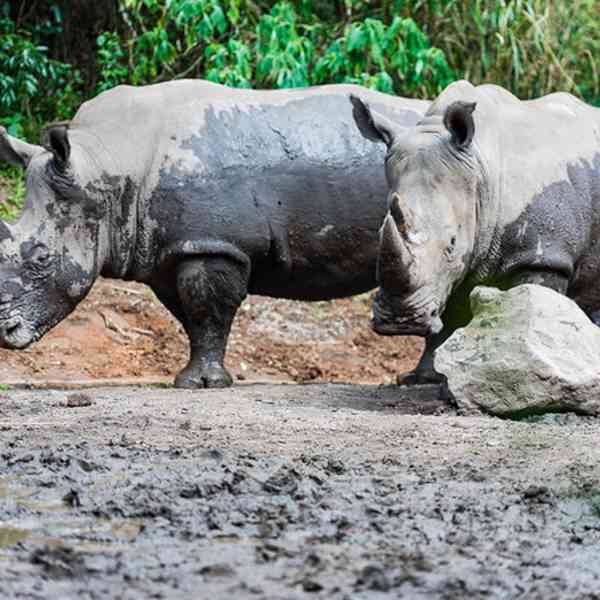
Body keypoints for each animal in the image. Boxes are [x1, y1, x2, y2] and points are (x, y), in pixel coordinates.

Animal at [0, 79, 426, 390]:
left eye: (41, 257)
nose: (5, 333)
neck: (106, 163)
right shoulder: (169, 250)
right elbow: (190, 315)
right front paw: (192, 379)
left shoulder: (214, 245)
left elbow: (208, 310)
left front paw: (205, 384)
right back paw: (416, 381)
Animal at [354, 81, 600, 384]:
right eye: (380, 233)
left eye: (451, 242)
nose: (399, 321)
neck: (482, 167)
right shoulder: (463, 260)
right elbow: (447, 317)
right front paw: (425, 378)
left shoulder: (544, 255)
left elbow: (535, 308)